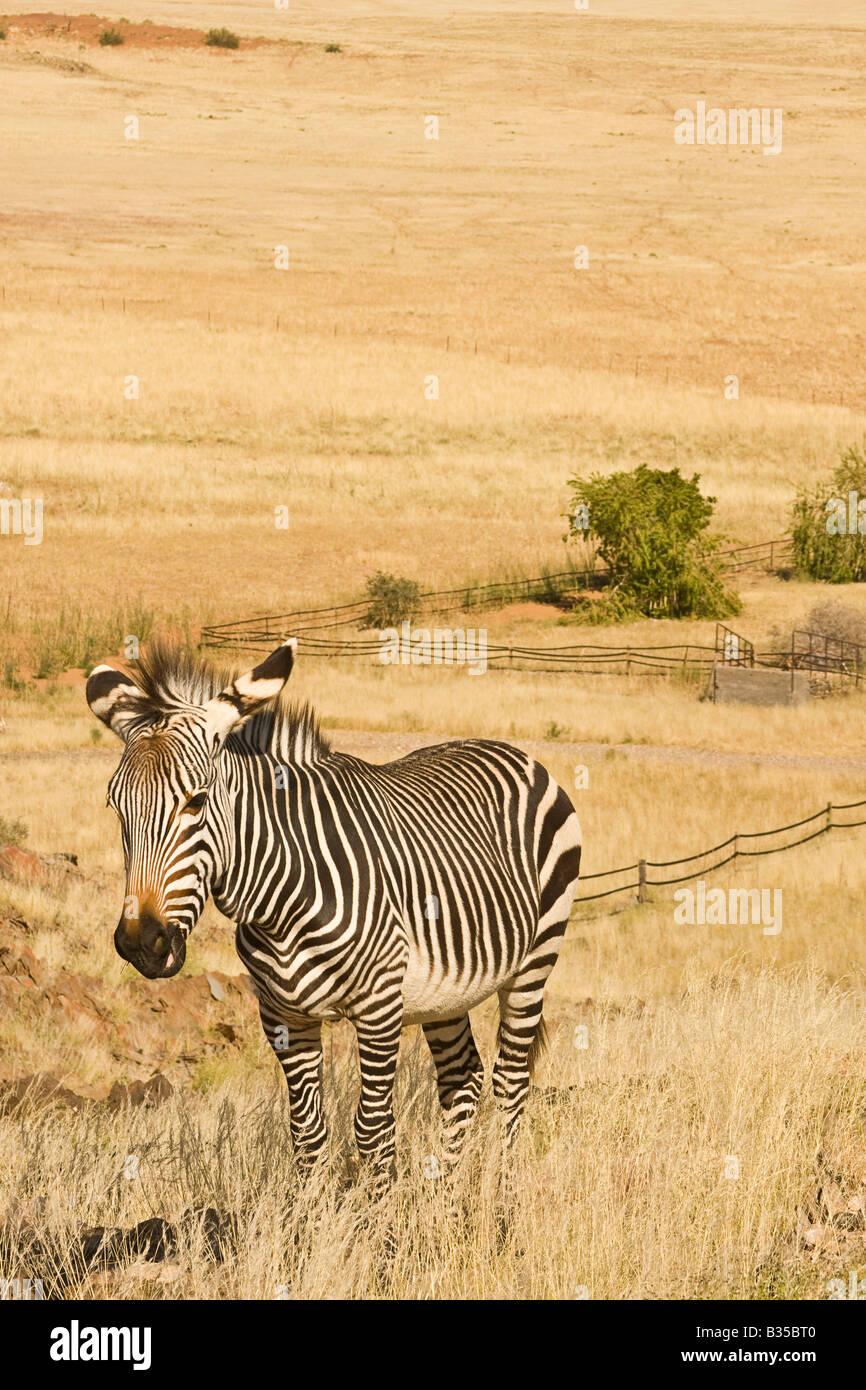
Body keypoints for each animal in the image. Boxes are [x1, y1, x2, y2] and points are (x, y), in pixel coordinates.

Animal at [88, 639, 583, 1184]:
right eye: (114, 807)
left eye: (195, 803)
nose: (141, 943)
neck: (280, 905)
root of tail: (508, 749)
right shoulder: (282, 1017)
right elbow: (306, 1136)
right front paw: (313, 1210)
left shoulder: (380, 1008)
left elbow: (373, 1131)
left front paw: (382, 1210)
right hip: (447, 989)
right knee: (462, 1079)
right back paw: (446, 1192)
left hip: (536, 960)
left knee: (511, 1081)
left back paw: (500, 1192)